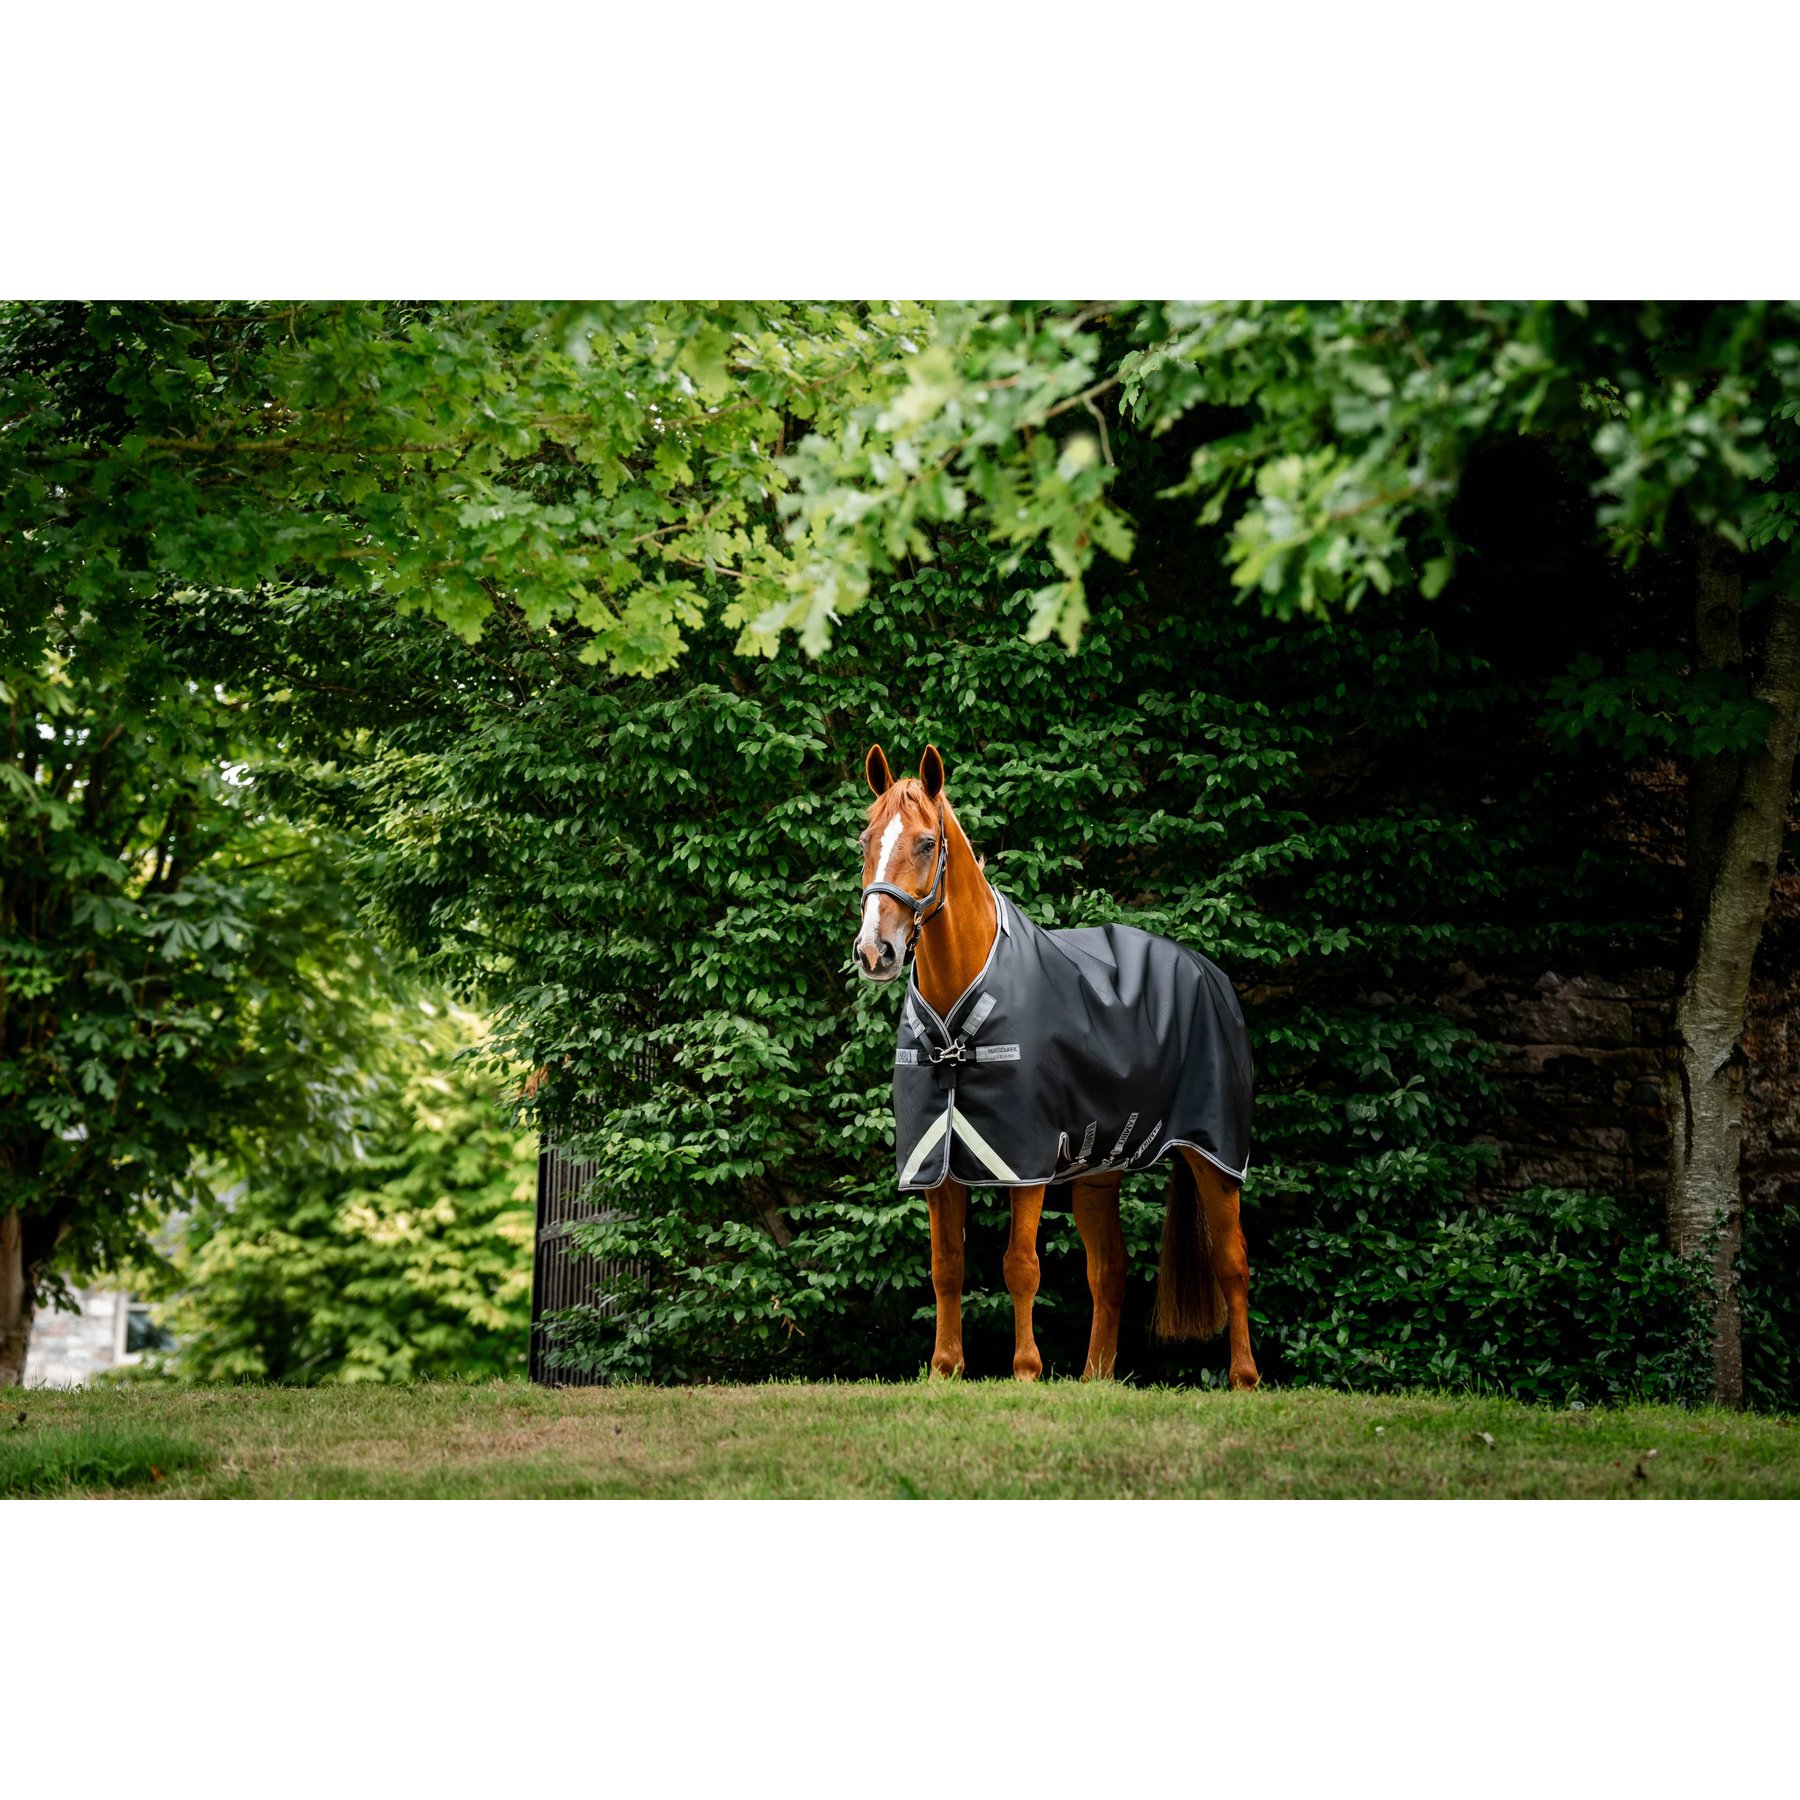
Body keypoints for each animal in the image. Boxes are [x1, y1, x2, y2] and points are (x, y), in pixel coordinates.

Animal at [853, 743, 1261, 1388]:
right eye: (866, 839)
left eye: (925, 842)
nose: (875, 952)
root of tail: (1208, 972)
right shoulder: (936, 1164)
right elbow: (947, 1266)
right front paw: (944, 1370)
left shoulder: (1026, 1162)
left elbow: (1020, 1265)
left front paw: (1025, 1371)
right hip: (1100, 1167)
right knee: (1110, 1269)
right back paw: (1095, 1380)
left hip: (1213, 1154)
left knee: (1232, 1260)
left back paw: (1244, 1377)